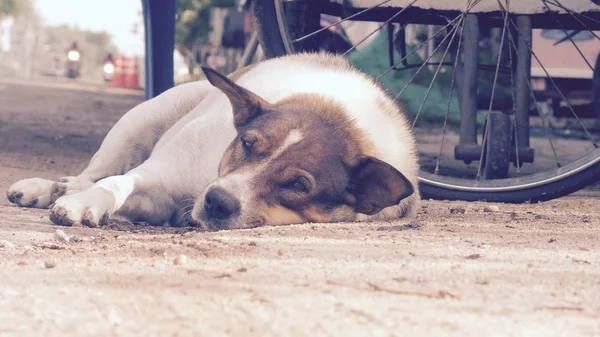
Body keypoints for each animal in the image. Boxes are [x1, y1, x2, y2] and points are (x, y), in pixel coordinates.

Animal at [5, 52, 418, 230]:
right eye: (248, 144)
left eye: (299, 185)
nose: (217, 201)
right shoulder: (159, 174)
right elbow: (116, 183)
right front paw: (84, 203)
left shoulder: (159, 203)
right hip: (140, 121)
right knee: (91, 174)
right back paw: (51, 189)